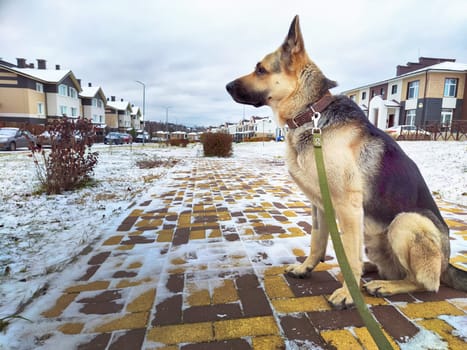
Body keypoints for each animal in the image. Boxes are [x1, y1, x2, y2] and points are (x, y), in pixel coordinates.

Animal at [225, 15, 466, 308]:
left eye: (260, 69)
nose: (226, 87)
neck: (311, 114)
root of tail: (446, 263)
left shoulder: (348, 207)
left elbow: (349, 255)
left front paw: (347, 293)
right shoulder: (319, 205)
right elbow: (316, 241)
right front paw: (306, 268)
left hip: (406, 222)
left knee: (425, 283)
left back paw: (384, 285)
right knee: (387, 267)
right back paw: (371, 271)